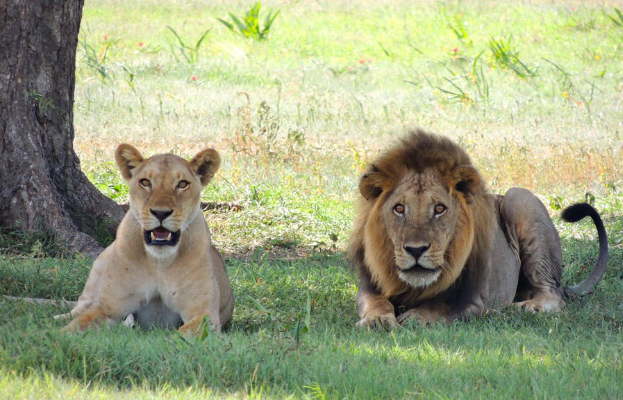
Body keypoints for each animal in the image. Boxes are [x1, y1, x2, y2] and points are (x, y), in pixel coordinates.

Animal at [61, 144, 234, 334]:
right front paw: (56, 334)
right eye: (145, 182)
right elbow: (76, 325)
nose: (161, 213)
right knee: (80, 306)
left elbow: (184, 334)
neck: (159, 262)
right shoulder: (107, 307)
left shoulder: (204, 313)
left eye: (182, 184)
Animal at [352, 130, 608, 328]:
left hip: (519, 198)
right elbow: (375, 302)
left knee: (552, 294)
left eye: (439, 208)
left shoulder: (475, 300)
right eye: (399, 208)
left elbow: (442, 306)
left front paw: (417, 317)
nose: (416, 250)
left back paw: (526, 307)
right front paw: (377, 320)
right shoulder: (369, 286)